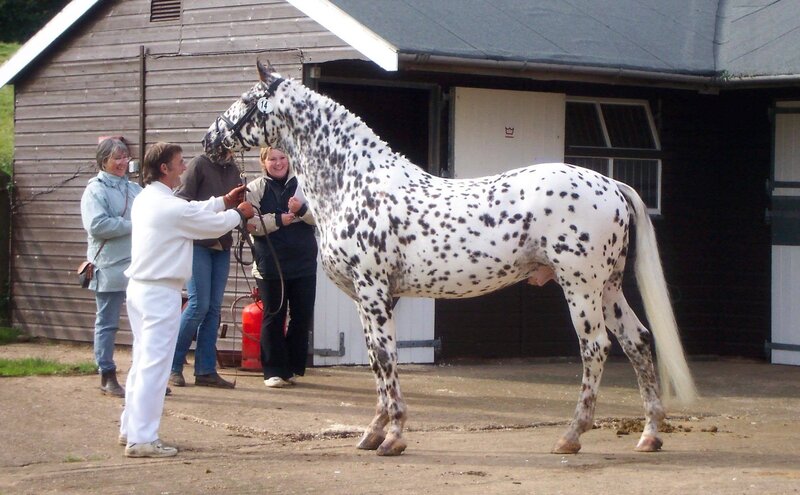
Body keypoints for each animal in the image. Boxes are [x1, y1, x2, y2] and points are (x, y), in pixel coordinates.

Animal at [203, 61, 697, 456]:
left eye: (246, 100)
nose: (211, 140)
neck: (354, 183)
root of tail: (611, 185)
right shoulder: (372, 299)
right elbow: (377, 359)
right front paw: (373, 432)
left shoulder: (373, 290)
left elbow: (386, 357)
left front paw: (394, 437)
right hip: (608, 287)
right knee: (638, 341)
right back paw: (650, 435)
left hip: (582, 286)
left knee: (595, 348)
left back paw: (571, 436)